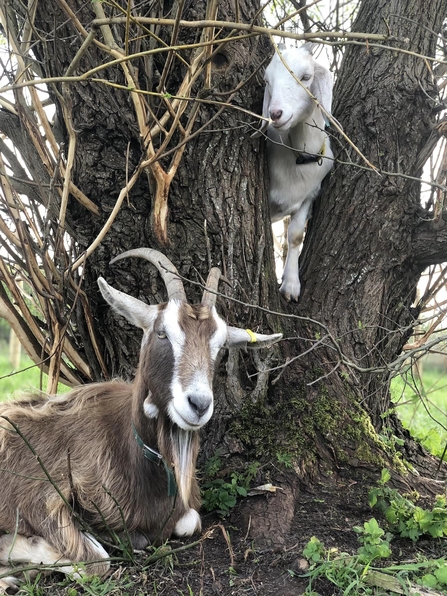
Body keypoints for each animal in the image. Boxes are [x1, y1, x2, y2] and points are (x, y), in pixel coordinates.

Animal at [0, 248, 282, 592]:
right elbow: (97, 560)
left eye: (220, 347)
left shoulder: (184, 511)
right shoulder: (36, 493)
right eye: (162, 333)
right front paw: (18, 547)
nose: (199, 404)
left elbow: (189, 521)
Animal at [258, 43, 334, 300]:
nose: (275, 114)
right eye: (267, 80)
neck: (300, 158)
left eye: (306, 76)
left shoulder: (310, 195)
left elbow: (295, 235)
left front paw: (291, 285)